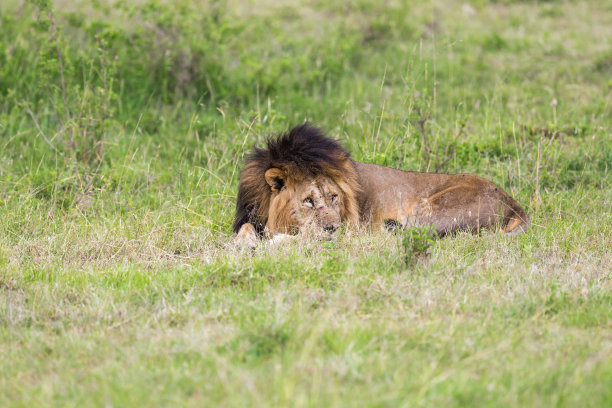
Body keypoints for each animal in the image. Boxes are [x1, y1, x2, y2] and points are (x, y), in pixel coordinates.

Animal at [232, 122, 528, 247]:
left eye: (334, 197)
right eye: (308, 200)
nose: (332, 227)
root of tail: (514, 204)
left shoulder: (352, 228)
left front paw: (267, 241)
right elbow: (245, 229)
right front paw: (243, 241)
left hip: (430, 211)